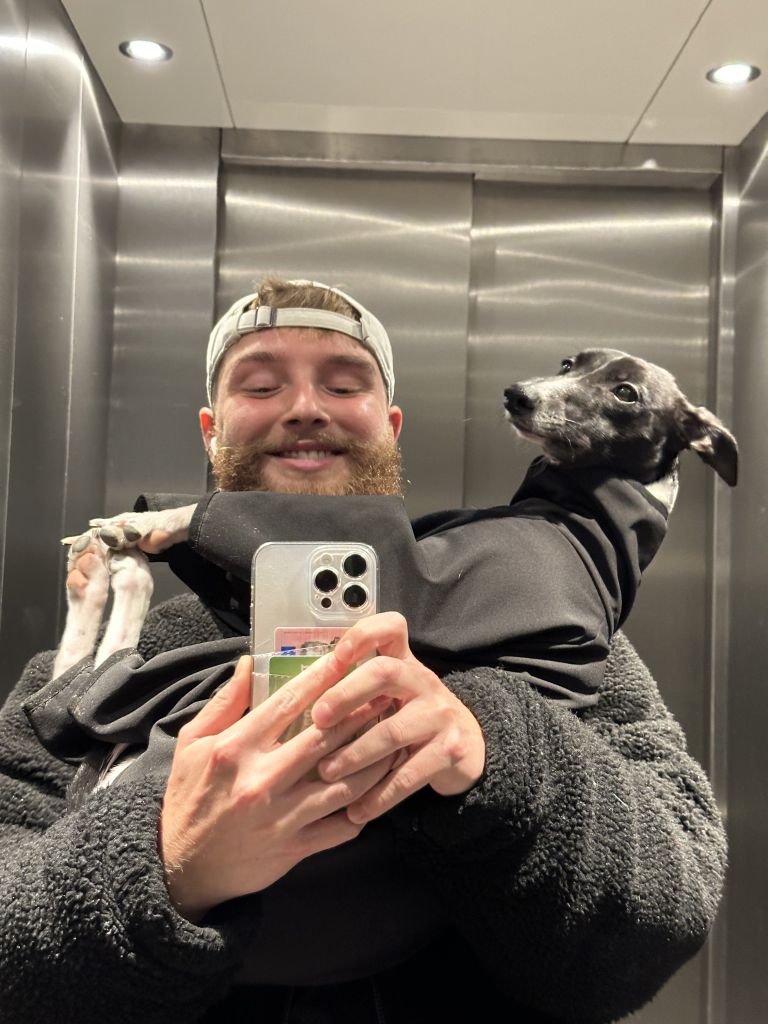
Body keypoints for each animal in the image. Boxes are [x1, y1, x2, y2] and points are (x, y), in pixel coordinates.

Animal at [53, 348, 737, 679]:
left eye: (626, 392)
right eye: (570, 362)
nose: (518, 394)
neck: (583, 508)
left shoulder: (438, 579)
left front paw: (156, 521)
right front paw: (140, 524)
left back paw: (112, 567)